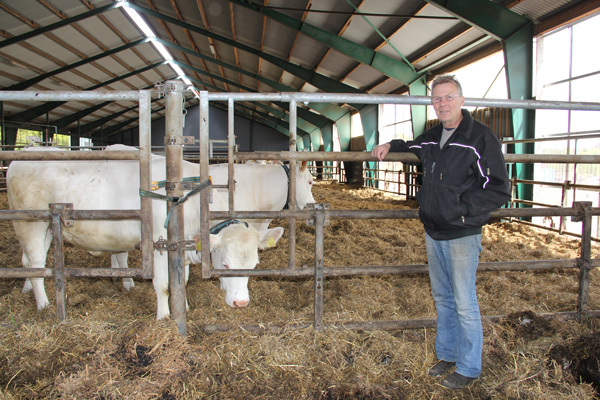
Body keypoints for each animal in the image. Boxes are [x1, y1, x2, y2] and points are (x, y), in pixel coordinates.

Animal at [7, 145, 284, 318]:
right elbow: (163, 285)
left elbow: (181, 282)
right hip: (29, 224)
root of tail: (22, 157)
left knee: (31, 262)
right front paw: (164, 317)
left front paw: (184, 307)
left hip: (45, 230)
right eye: (225, 264)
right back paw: (44, 305)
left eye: (255, 265)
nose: (241, 303)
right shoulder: (160, 246)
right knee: (35, 264)